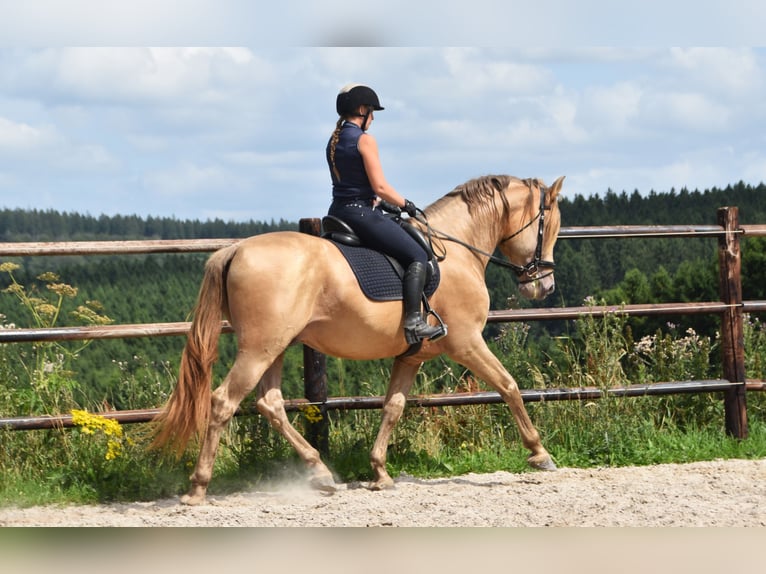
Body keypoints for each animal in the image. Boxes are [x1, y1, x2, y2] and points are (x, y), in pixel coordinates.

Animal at [151, 174, 565, 505]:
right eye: (550, 227)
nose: (544, 286)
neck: (457, 252)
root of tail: (237, 248)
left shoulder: (411, 356)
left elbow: (393, 407)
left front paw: (380, 472)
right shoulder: (467, 342)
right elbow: (509, 386)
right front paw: (539, 453)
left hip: (275, 347)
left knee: (270, 403)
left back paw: (319, 472)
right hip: (259, 348)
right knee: (224, 402)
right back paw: (197, 489)